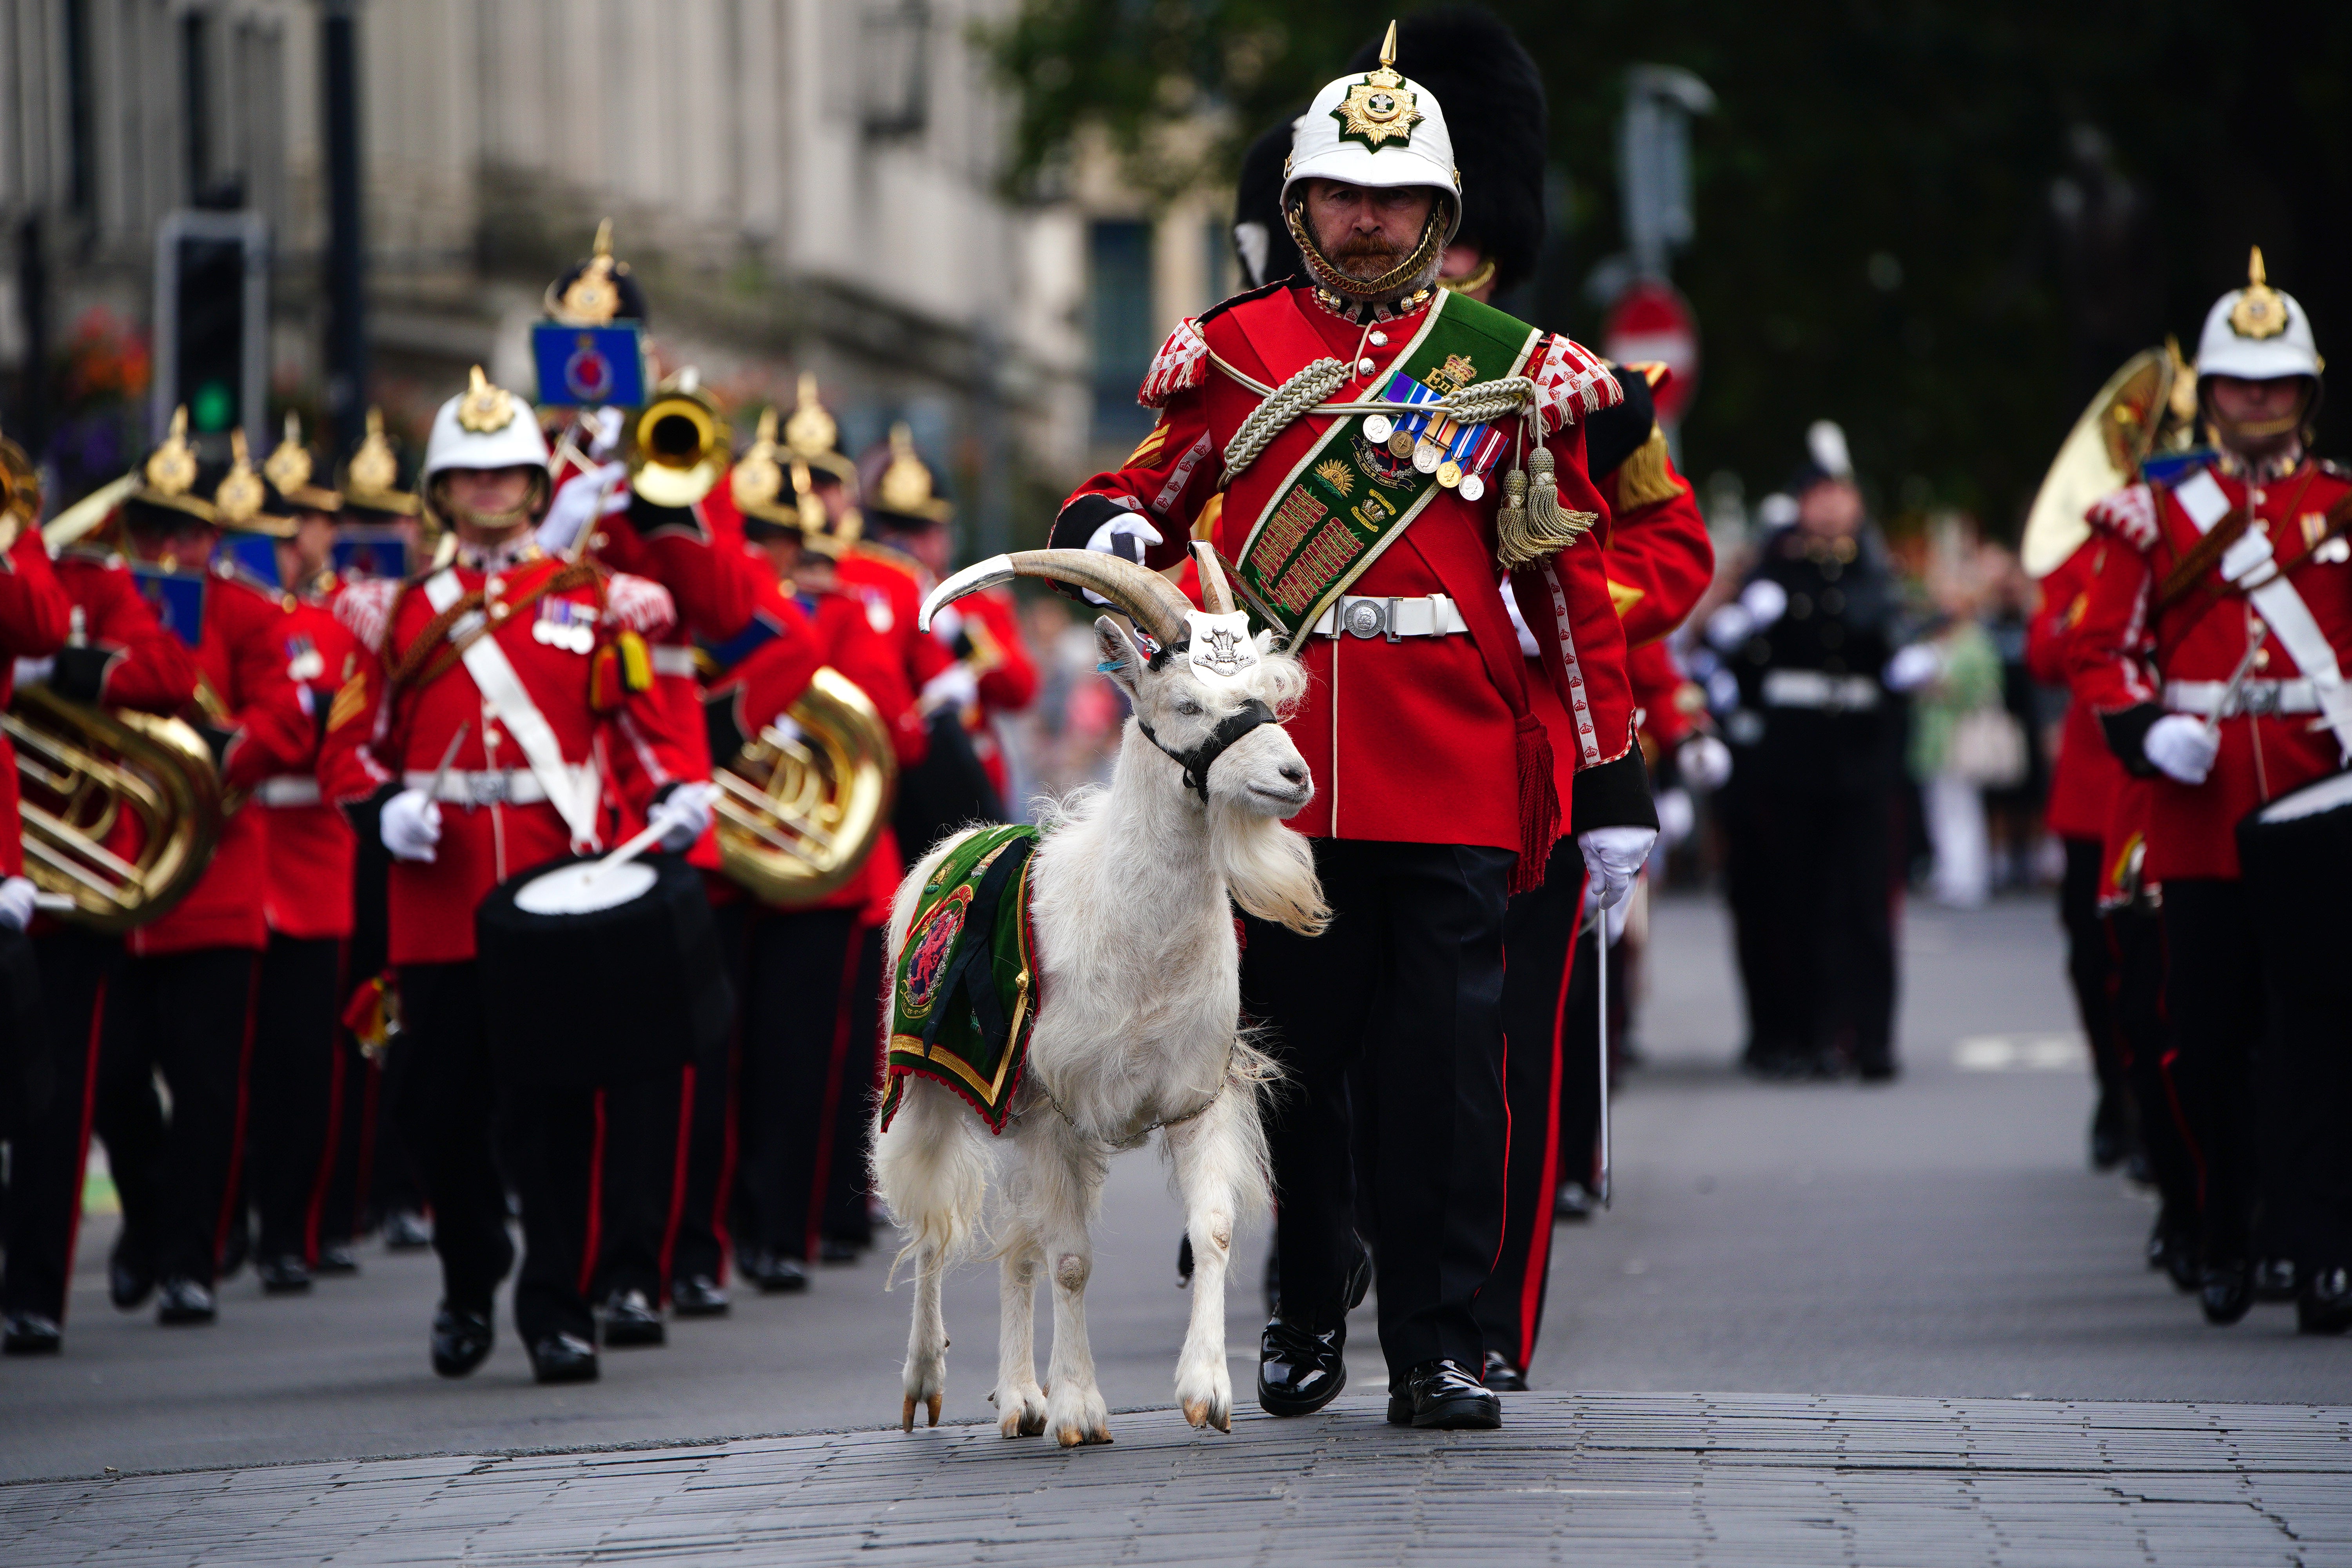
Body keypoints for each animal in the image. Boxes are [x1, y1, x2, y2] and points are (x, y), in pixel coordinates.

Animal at [880, 543, 1327, 1448]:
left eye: (1265, 694)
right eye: (1187, 702)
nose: (1294, 775)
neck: (1132, 936)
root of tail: (957, 842)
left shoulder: (1194, 1096)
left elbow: (1210, 1229)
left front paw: (1207, 1391)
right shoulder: (1058, 1108)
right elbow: (1074, 1260)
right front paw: (1082, 1409)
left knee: (1017, 1247)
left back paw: (1020, 1399)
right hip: (934, 1089)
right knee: (934, 1228)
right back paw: (928, 1384)